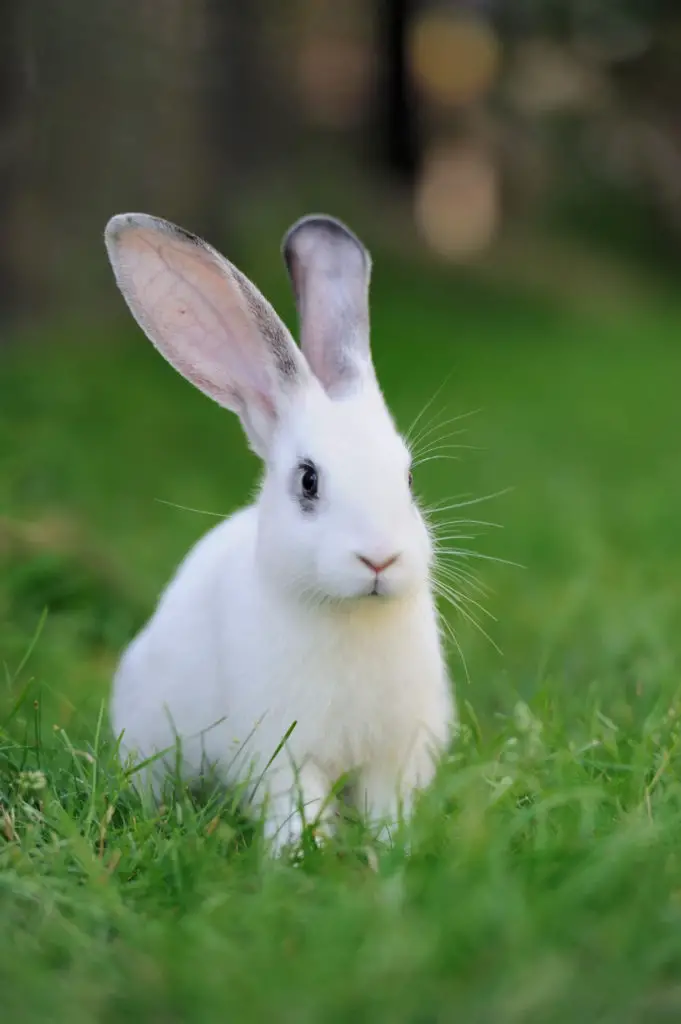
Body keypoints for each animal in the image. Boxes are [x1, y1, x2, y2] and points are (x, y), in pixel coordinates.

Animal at [104, 211, 456, 851]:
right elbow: (297, 805)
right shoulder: (282, 754)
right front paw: (302, 854)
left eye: (409, 477)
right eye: (308, 481)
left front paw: (392, 848)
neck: (350, 616)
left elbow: (386, 807)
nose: (380, 559)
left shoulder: (394, 755)